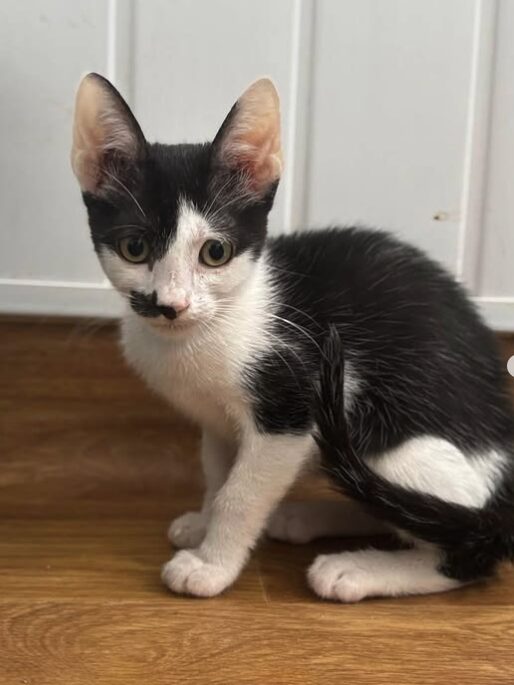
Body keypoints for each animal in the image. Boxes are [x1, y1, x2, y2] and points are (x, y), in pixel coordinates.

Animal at [69, 72, 512, 600]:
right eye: (134, 248)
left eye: (215, 252)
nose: (171, 304)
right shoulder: (217, 420)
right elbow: (217, 471)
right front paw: (203, 523)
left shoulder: (291, 410)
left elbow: (241, 493)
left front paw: (211, 566)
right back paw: (307, 519)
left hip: (389, 439)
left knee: (470, 546)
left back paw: (356, 569)